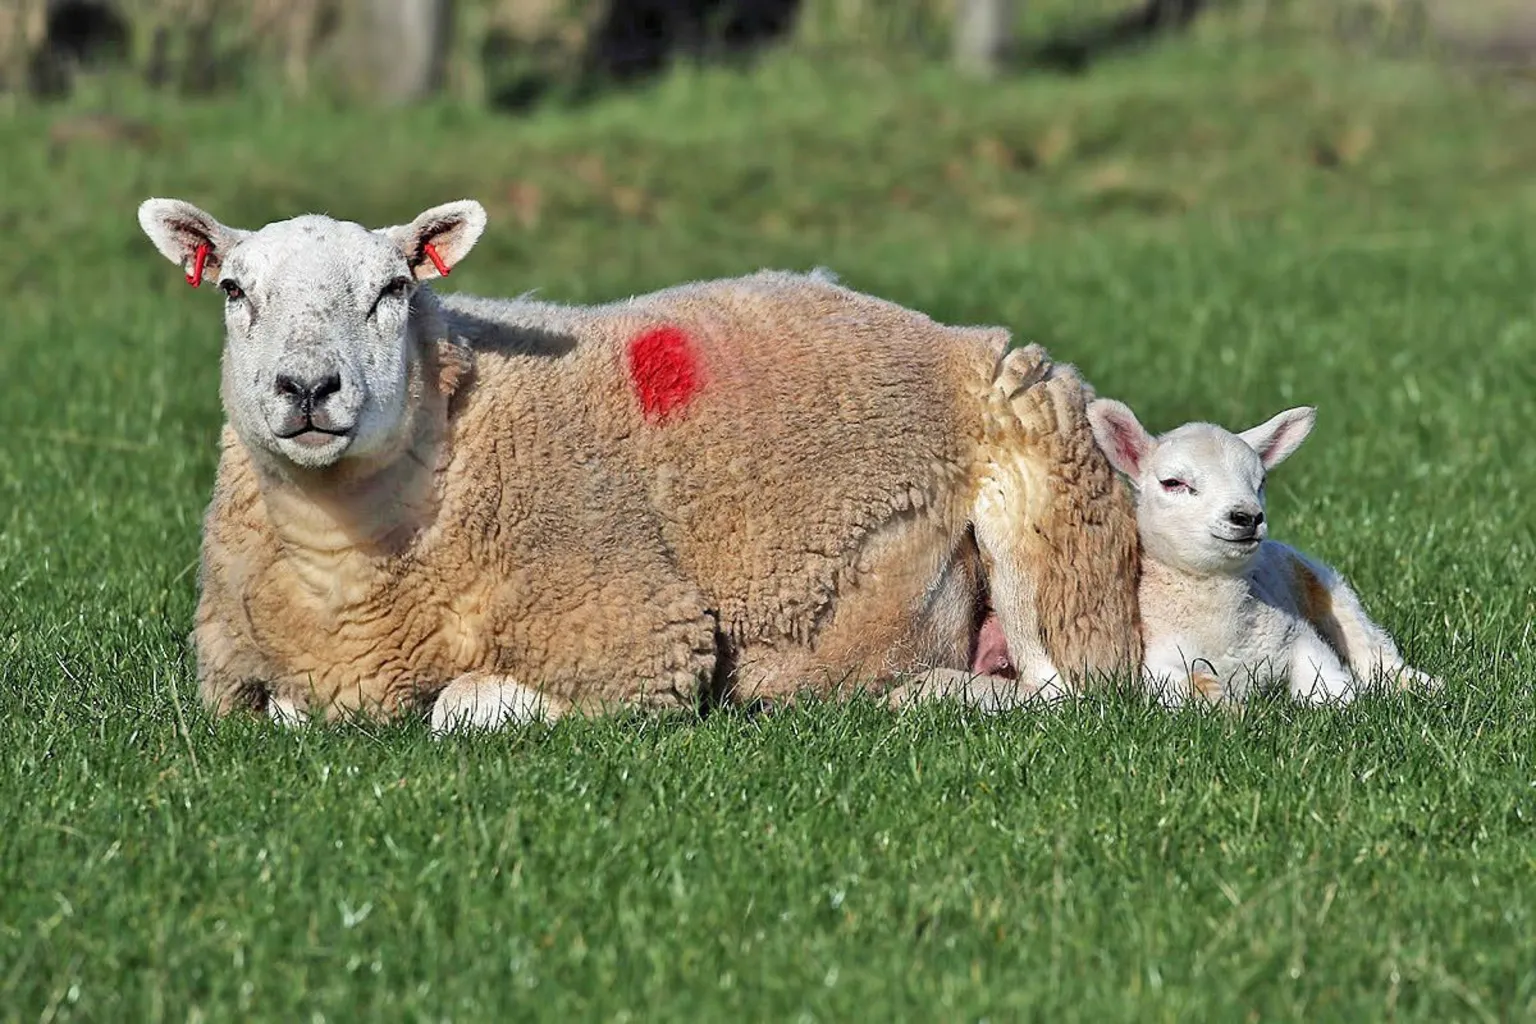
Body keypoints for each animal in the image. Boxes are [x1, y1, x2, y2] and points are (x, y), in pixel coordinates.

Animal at [136, 196, 1143, 732]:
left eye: (394, 289)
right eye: (234, 289)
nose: (308, 388)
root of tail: (950, 334)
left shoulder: (639, 637)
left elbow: (460, 707)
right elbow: (288, 712)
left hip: (1053, 534)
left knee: (1066, 696)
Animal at [1085, 397, 1442, 706]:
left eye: (1261, 482)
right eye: (1173, 482)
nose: (1247, 517)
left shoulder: (1297, 638)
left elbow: (1332, 690)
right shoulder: (1158, 666)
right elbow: (1200, 691)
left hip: (1327, 587)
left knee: (1370, 645)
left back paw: (1420, 686)